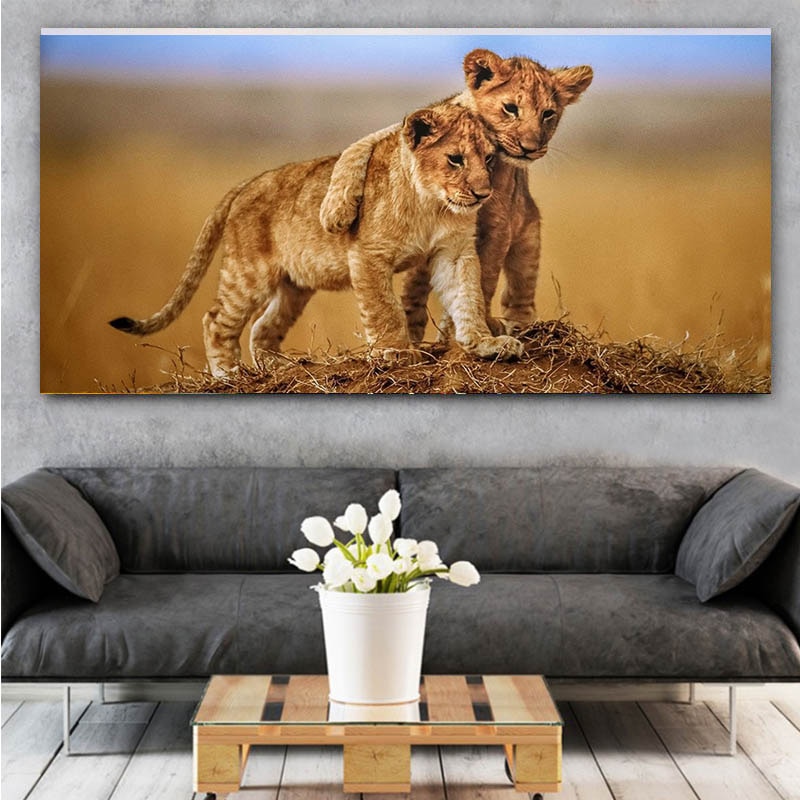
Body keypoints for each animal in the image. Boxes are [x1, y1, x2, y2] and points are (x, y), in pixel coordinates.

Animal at [109, 102, 523, 377]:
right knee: (216, 321)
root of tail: (247, 183)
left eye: (489, 159)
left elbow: (467, 298)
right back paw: (230, 375)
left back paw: (279, 366)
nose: (483, 194)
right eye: (455, 159)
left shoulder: (454, 253)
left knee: (263, 328)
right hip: (249, 273)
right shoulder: (368, 254)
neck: (431, 204)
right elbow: (385, 309)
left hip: (295, 285)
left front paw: (485, 344)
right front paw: (395, 352)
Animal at [319, 49, 593, 341]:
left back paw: (518, 326)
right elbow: (357, 148)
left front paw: (470, 328)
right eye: (510, 108)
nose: (530, 148)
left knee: (519, 292)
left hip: (528, 237)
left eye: (548, 114)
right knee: (414, 287)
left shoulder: (499, 225)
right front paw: (335, 211)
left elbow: (484, 279)